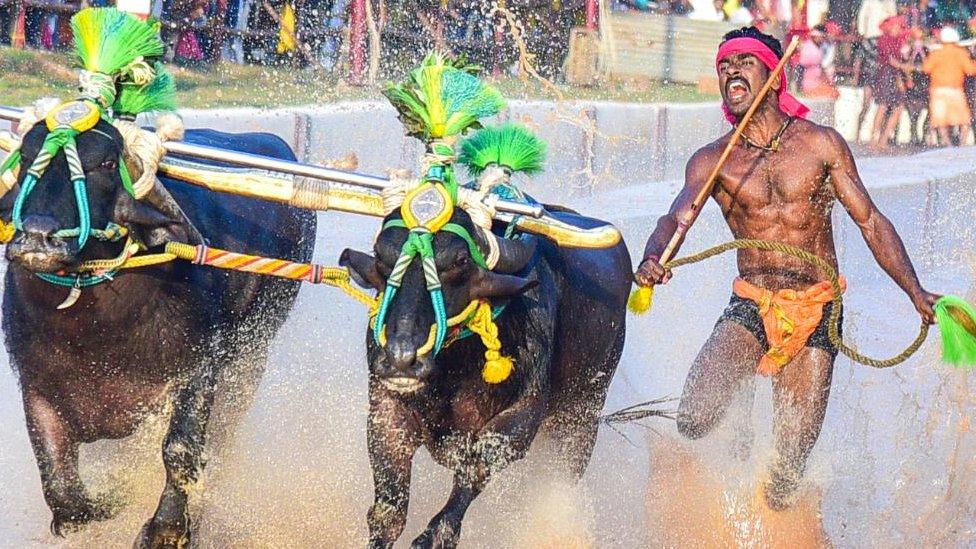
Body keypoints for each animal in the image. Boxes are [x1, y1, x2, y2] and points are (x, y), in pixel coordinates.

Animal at [2, 121, 316, 548]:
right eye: (26, 157)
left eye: (105, 163)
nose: (37, 236)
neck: (95, 332)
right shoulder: (36, 385)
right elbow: (62, 488)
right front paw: (113, 498)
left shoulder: (199, 368)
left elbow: (180, 450)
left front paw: (166, 528)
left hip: (252, 354)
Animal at [344, 203, 628, 544]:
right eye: (381, 256)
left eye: (460, 261)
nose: (401, 358)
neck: (452, 372)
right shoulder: (386, 414)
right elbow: (388, 514)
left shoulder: (520, 420)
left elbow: (469, 479)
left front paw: (432, 536)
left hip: (580, 420)